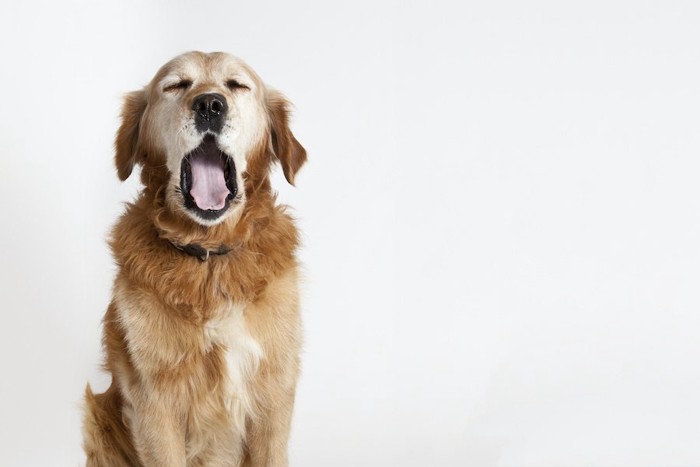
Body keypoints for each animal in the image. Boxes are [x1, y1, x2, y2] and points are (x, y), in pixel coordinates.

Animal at [82, 52, 306, 467]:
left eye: (237, 85)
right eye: (176, 85)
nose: (209, 105)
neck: (210, 255)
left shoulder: (274, 394)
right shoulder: (154, 402)